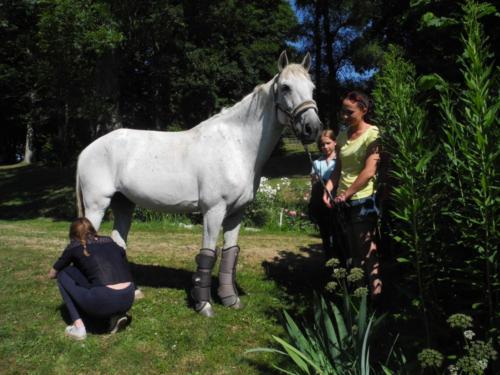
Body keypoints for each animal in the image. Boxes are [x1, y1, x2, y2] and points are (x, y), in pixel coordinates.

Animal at [76, 52, 322, 318]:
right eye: (286, 87)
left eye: (312, 88)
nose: (312, 128)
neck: (236, 146)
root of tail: (87, 150)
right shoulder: (214, 211)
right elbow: (208, 255)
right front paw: (204, 305)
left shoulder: (236, 213)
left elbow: (229, 255)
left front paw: (230, 300)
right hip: (97, 205)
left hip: (124, 205)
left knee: (118, 243)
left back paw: (133, 291)